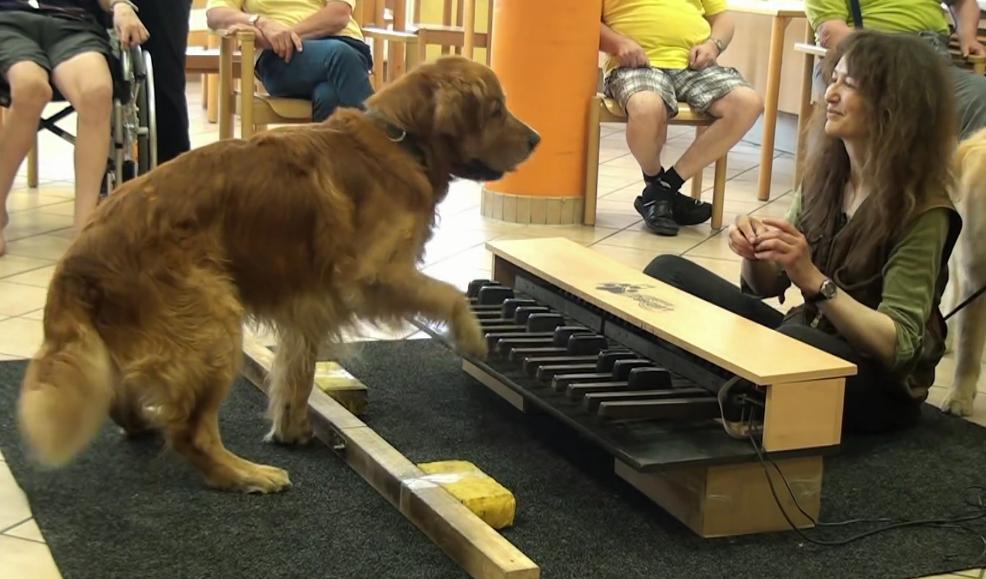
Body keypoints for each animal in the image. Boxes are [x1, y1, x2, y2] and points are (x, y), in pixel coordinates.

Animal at [15, 56, 540, 494]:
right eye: (496, 110)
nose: (536, 138)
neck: (403, 142)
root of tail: (80, 251)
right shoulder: (369, 275)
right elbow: (450, 293)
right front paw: (471, 337)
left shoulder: (307, 301)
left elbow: (296, 372)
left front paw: (291, 428)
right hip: (212, 320)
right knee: (189, 432)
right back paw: (244, 474)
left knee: (125, 398)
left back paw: (145, 420)